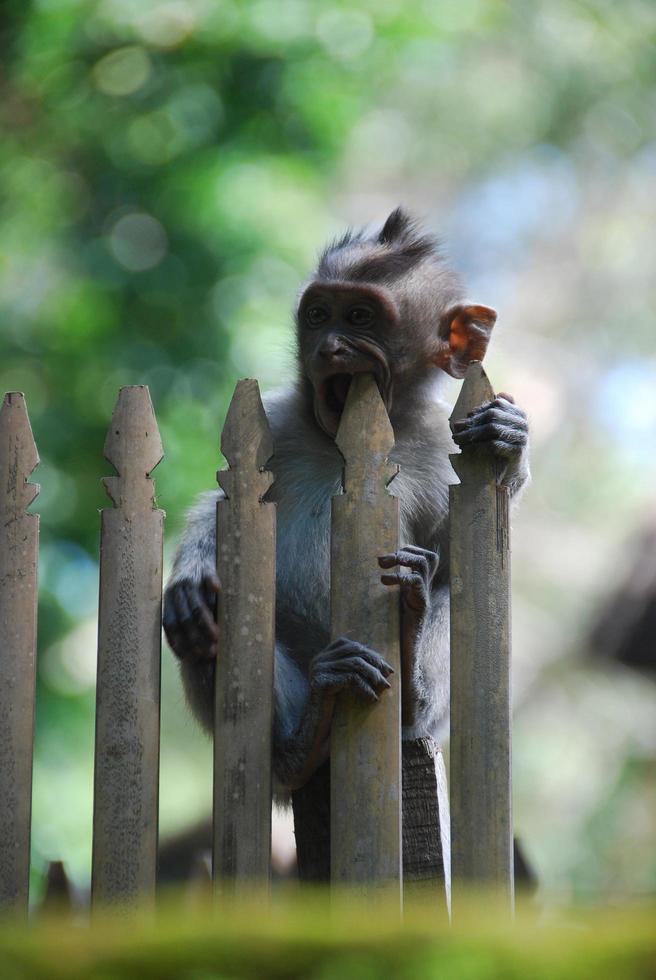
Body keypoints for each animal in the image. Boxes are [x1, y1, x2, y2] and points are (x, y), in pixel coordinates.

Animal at [163, 212, 528, 812]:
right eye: (318, 315)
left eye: (360, 317)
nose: (330, 348)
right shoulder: (280, 422)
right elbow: (223, 505)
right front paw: (191, 576)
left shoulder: (438, 444)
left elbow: (458, 549)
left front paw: (511, 438)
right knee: (213, 627)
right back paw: (301, 741)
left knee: (450, 592)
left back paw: (409, 672)